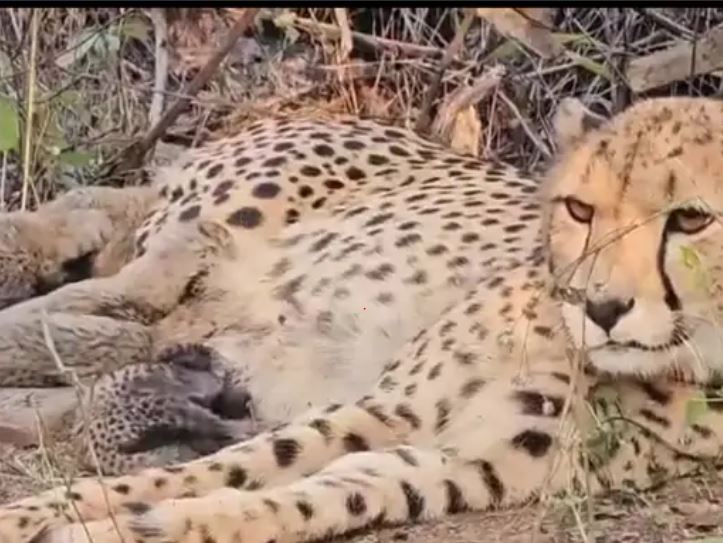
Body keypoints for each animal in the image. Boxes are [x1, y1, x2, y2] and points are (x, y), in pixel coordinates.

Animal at [3, 96, 723, 543]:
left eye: (691, 219)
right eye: (579, 209)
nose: (599, 306)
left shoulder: (462, 464)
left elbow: (304, 495)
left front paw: (139, 525)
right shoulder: (389, 406)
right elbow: (212, 468)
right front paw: (38, 513)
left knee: (118, 318)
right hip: (224, 214)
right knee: (113, 254)